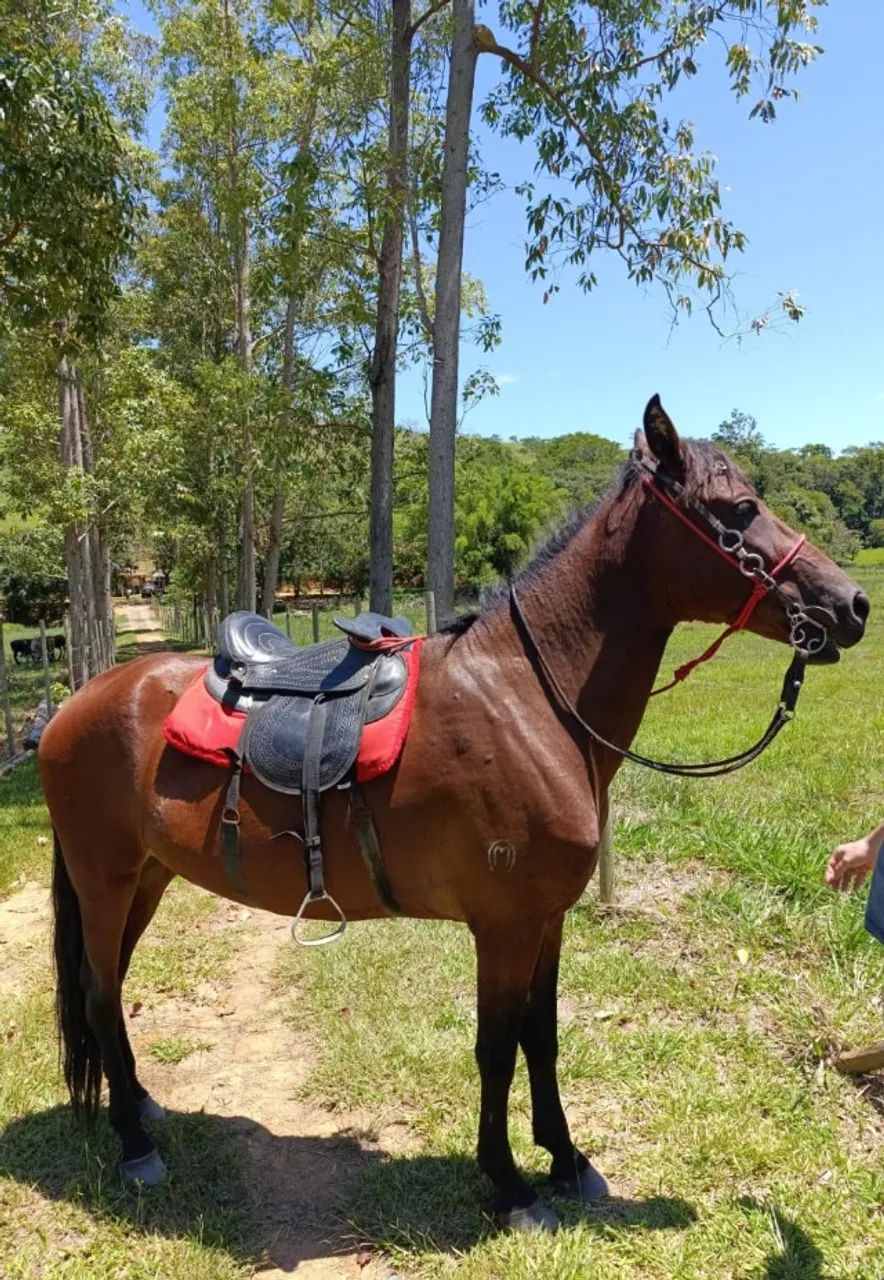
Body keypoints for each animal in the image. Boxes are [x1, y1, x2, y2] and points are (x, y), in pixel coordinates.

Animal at [38, 398, 869, 1233]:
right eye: (740, 509)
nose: (852, 604)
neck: (529, 699)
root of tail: (73, 706)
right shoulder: (502, 925)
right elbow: (496, 1050)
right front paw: (508, 1184)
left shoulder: (545, 919)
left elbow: (542, 1037)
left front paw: (567, 1159)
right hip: (105, 882)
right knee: (99, 993)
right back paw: (133, 1143)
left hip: (147, 879)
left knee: (108, 991)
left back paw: (142, 1105)